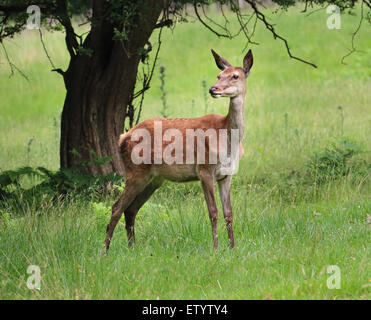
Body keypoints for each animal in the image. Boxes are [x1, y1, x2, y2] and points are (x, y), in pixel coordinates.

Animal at [106, 48, 254, 251]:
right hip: (135, 172)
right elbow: (213, 212)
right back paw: (105, 251)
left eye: (235, 76)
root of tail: (123, 137)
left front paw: (232, 248)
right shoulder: (204, 169)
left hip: (154, 178)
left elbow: (228, 213)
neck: (227, 140)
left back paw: (132, 248)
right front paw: (216, 248)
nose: (213, 89)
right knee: (116, 208)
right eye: (218, 75)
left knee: (130, 209)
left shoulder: (226, 174)